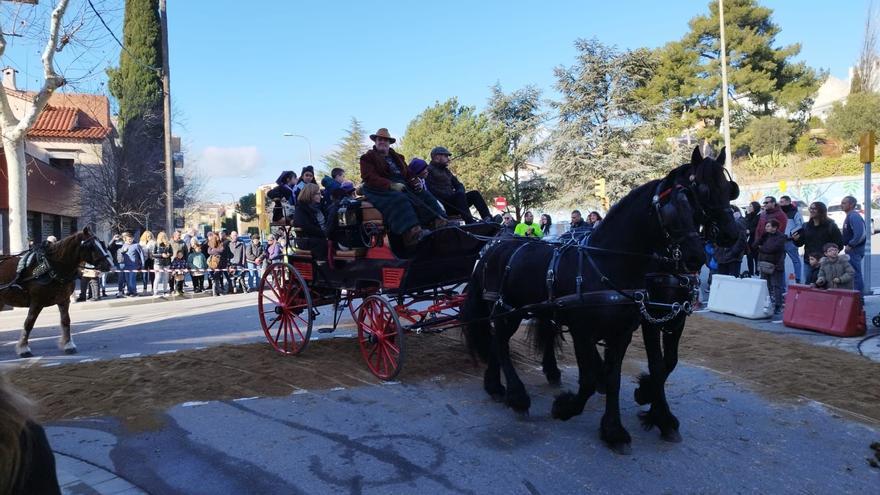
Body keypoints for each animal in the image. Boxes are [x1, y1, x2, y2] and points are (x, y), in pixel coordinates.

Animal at [464, 149, 740, 456]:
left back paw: (504, 383)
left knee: (510, 339)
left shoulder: (643, 326)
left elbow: (625, 374)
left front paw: (622, 425)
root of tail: (495, 244)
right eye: (701, 192)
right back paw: (516, 395)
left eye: (729, 191)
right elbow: (599, 376)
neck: (608, 261)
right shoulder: (594, 329)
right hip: (507, 309)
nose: (697, 256)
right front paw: (568, 408)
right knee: (499, 342)